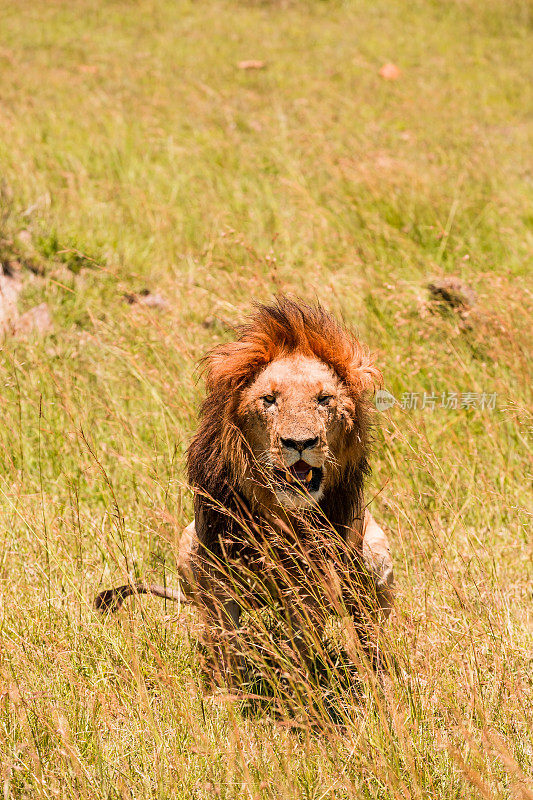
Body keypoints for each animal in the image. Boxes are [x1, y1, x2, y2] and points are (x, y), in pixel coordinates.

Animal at [95, 300, 392, 680]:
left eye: (324, 399)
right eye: (269, 399)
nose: (300, 443)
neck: (279, 511)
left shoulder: (311, 576)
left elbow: (302, 643)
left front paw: (298, 685)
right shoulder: (216, 564)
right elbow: (226, 642)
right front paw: (228, 689)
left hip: (374, 555)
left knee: (368, 629)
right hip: (187, 542)